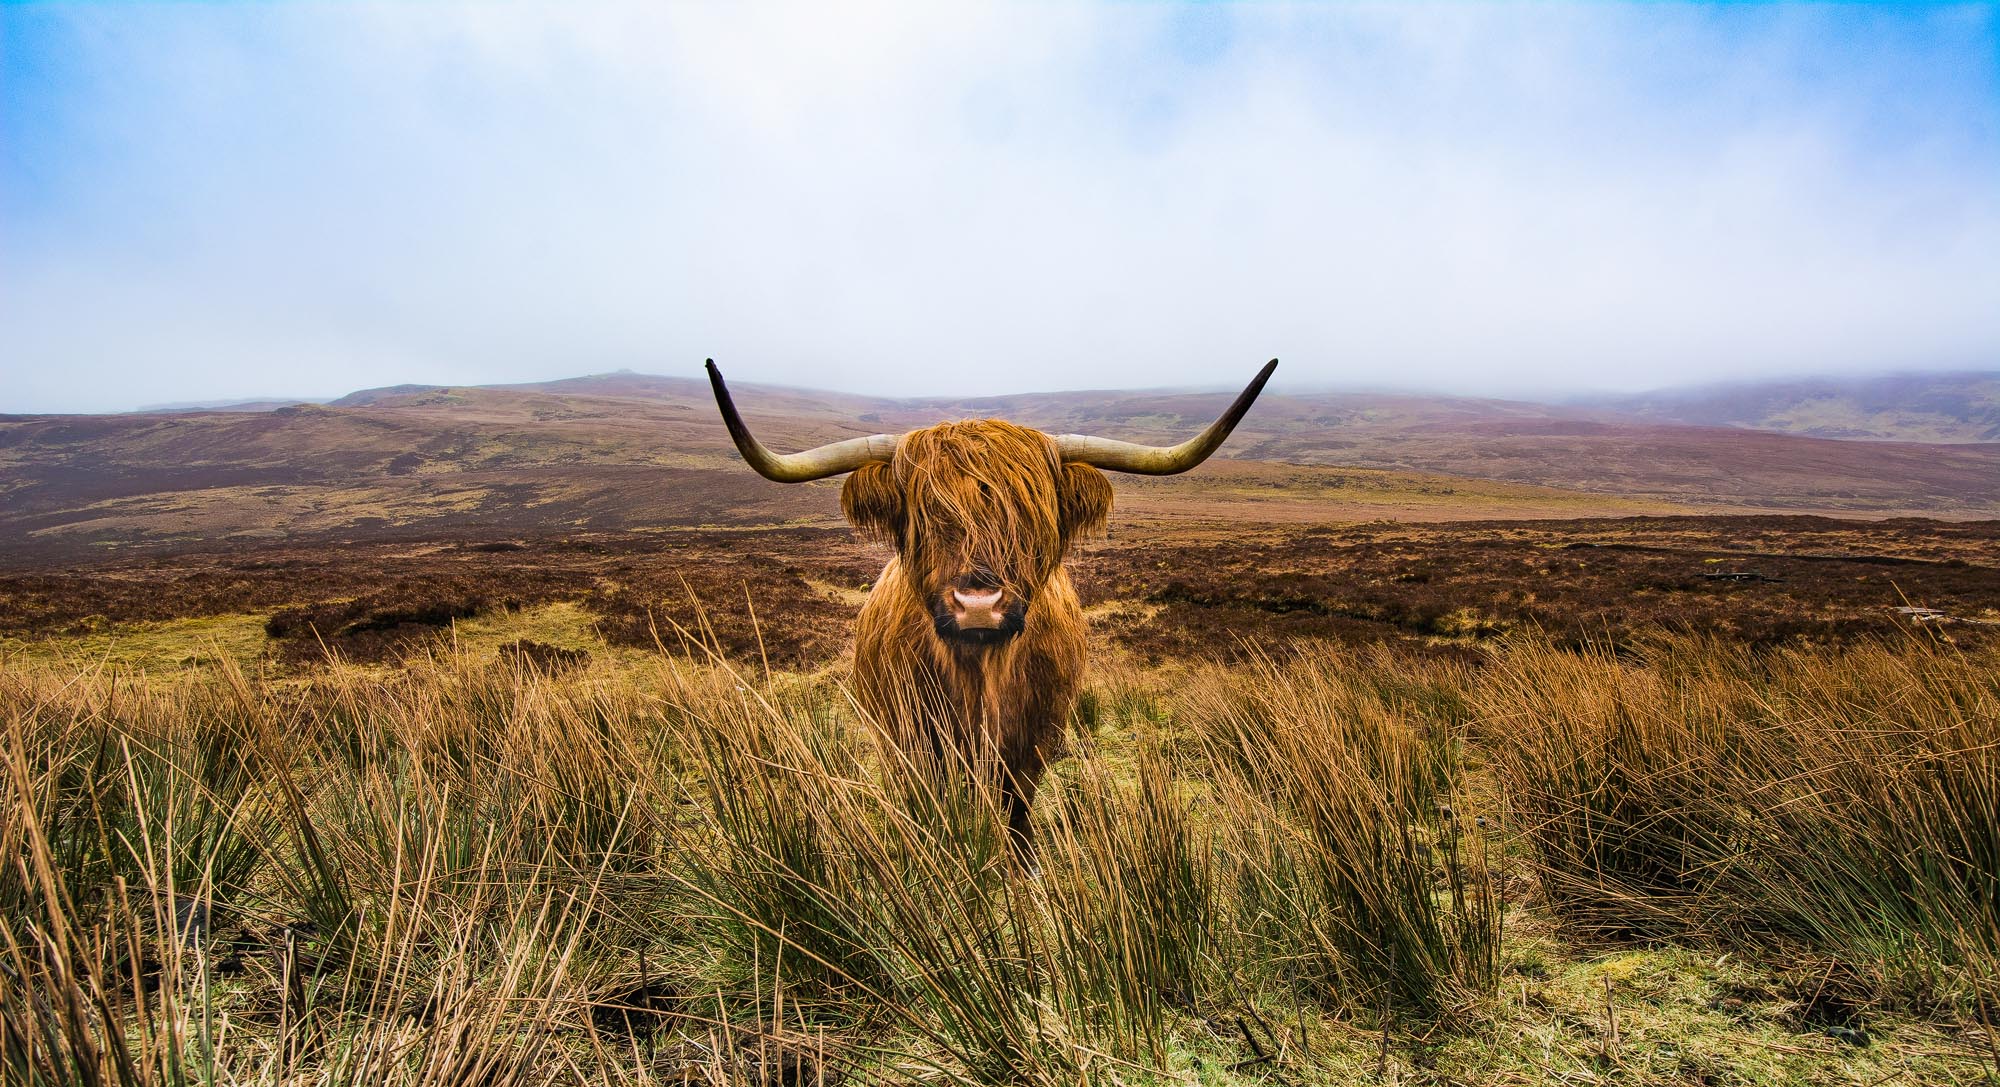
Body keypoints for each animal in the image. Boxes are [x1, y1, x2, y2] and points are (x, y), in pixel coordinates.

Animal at [706, 358, 1277, 852]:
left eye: (1030, 514)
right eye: (924, 515)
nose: (978, 604)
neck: (980, 676)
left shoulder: (1036, 738)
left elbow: (1018, 806)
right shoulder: (911, 742)